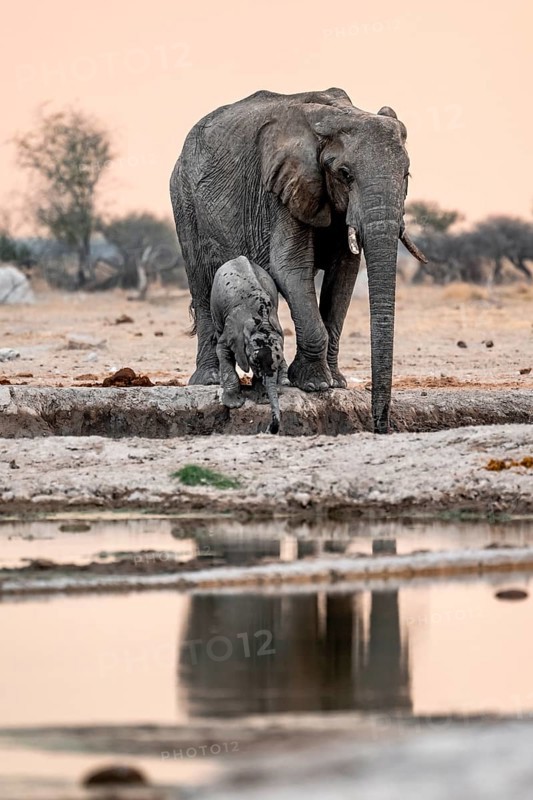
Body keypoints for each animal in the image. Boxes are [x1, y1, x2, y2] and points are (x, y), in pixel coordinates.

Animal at [210, 255, 287, 434]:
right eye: (254, 361)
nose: (269, 428)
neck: (261, 323)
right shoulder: (232, 329)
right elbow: (222, 350)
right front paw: (234, 404)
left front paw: (264, 399)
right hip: (215, 304)